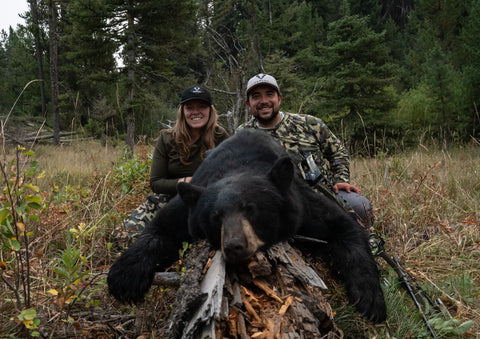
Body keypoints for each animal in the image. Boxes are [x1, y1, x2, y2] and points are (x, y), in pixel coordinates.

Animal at [108, 129, 386, 322]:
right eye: (216, 216)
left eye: (251, 209)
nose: (234, 245)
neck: (240, 166)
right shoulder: (191, 202)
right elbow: (158, 229)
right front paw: (124, 277)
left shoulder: (301, 206)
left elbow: (344, 228)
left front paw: (370, 299)